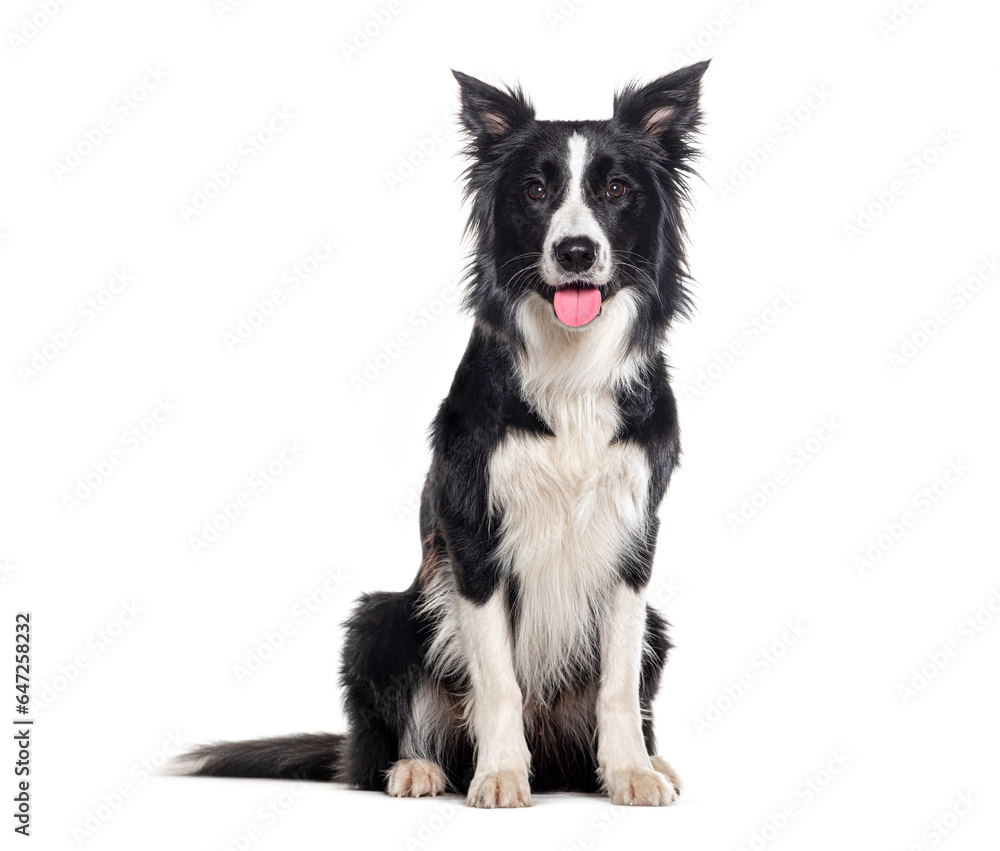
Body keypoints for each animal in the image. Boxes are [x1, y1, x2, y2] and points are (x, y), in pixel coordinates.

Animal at [182, 63, 712, 808]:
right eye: (535, 189)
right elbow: (497, 680)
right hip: (382, 619)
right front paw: (500, 774)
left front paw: (632, 771)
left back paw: (641, 762)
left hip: (655, 628)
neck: (571, 370)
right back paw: (418, 768)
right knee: (381, 741)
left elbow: (616, 682)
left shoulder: (634, 533)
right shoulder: (473, 531)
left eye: (615, 190)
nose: (576, 251)